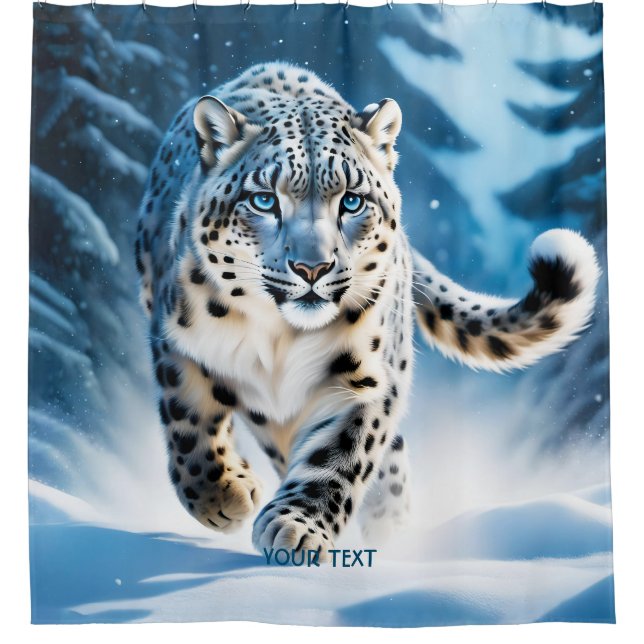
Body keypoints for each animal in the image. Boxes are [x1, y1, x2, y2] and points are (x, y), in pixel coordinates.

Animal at [135, 61, 600, 559]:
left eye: (352, 200)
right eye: (264, 200)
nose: (312, 267)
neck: (281, 338)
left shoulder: (370, 375)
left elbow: (346, 449)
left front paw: (297, 526)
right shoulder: (175, 342)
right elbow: (188, 423)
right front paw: (223, 496)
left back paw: (390, 524)